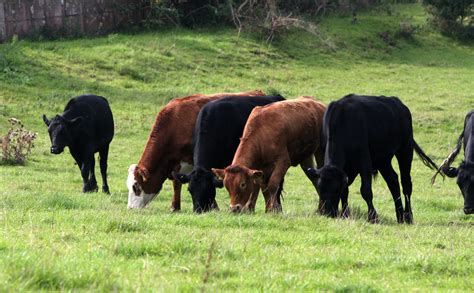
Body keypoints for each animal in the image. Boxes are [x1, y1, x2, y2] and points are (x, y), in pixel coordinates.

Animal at [306, 94, 438, 222]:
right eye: (320, 189)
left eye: (335, 190)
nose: (328, 213)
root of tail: (400, 104)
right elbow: (346, 191)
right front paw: (345, 214)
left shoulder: (364, 161)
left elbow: (365, 191)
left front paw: (373, 217)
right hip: (383, 160)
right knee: (393, 181)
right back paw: (399, 216)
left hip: (405, 149)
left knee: (406, 183)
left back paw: (408, 216)